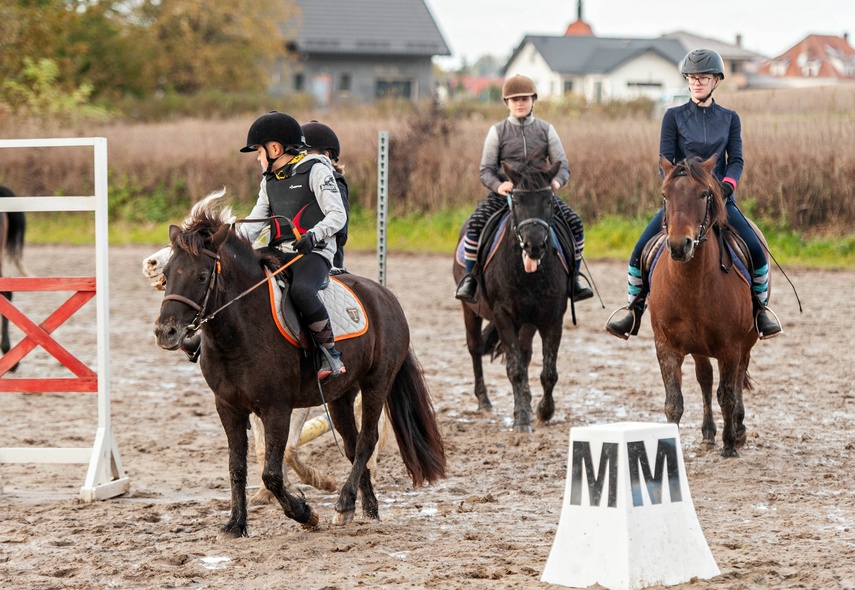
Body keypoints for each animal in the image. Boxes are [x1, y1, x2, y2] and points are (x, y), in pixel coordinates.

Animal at [155, 192, 448, 540]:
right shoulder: (228, 407)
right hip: (340, 396)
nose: (165, 332)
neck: (239, 331)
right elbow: (236, 467)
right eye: (167, 274)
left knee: (366, 440)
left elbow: (271, 473)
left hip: (377, 383)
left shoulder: (276, 408)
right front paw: (236, 524)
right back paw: (368, 508)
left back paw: (344, 504)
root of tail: (385, 296)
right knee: (352, 446)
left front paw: (305, 514)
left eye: (201, 276)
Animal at [648, 156, 764, 458]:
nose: (680, 245)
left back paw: (738, 429)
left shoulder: (730, 346)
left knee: (737, 378)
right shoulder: (666, 346)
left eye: (703, 194)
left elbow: (727, 395)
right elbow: (673, 402)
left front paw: (729, 445)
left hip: (744, 343)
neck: (693, 286)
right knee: (705, 379)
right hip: (699, 347)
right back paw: (708, 433)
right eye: (665, 195)